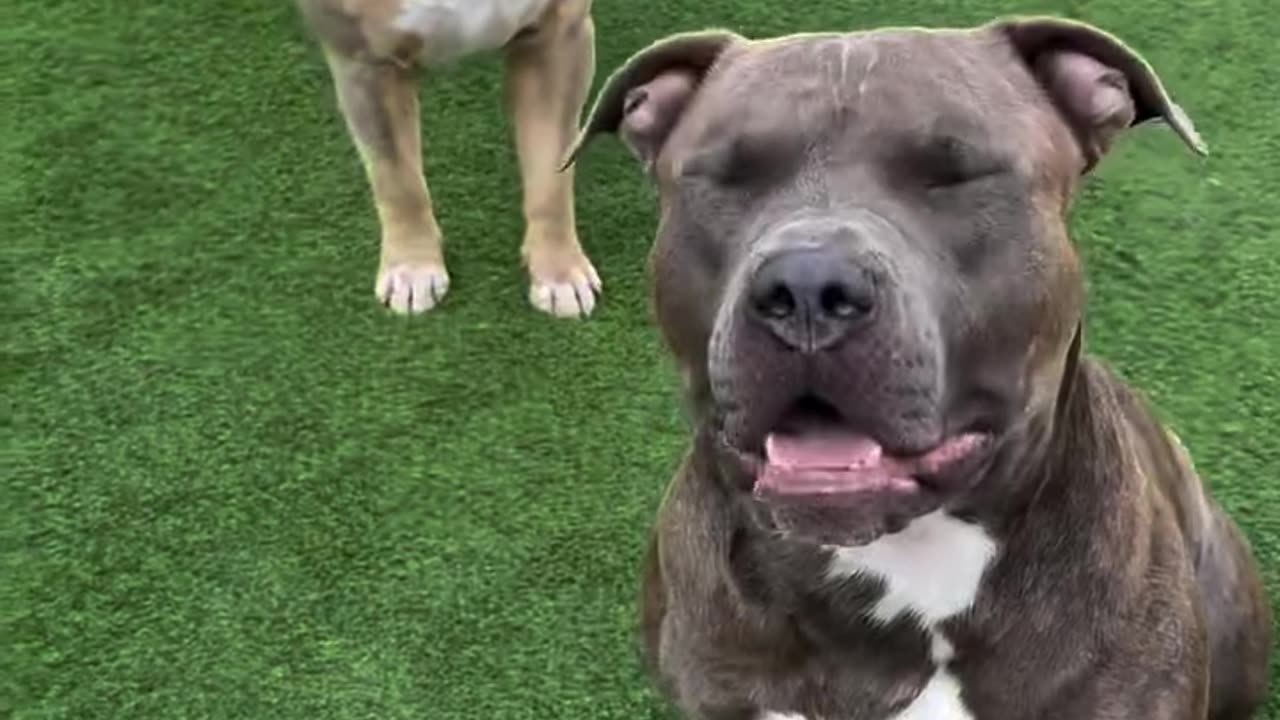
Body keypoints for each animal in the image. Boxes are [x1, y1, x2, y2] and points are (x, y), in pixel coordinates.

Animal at [298, 0, 599, 315]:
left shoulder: (557, 39)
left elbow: (550, 178)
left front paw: (559, 272)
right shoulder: (364, 59)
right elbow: (398, 181)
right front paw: (413, 267)